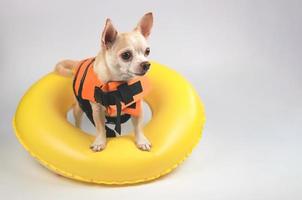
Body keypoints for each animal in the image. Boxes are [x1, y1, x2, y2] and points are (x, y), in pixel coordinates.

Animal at [54, 12, 153, 151]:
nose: (146, 64)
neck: (119, 85)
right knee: (78, 119)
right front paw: (100, 142)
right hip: (79, 107)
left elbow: (138, 127)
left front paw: (142, 141)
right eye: (126, 55)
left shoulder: (137, 107)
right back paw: (79, 130)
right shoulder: (97, 110)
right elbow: (100, 128)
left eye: (147, 51)